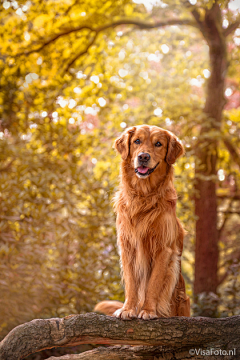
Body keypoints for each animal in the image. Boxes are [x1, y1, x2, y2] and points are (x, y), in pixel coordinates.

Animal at [94, 125, 190, 320]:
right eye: (137, 141)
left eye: (158, 144)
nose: (143, 157)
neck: (143, 196)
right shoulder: (128, 247)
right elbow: (131, 284)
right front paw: (128, 309)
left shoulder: (163, 248)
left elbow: (153, 284)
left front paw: (148, 311)